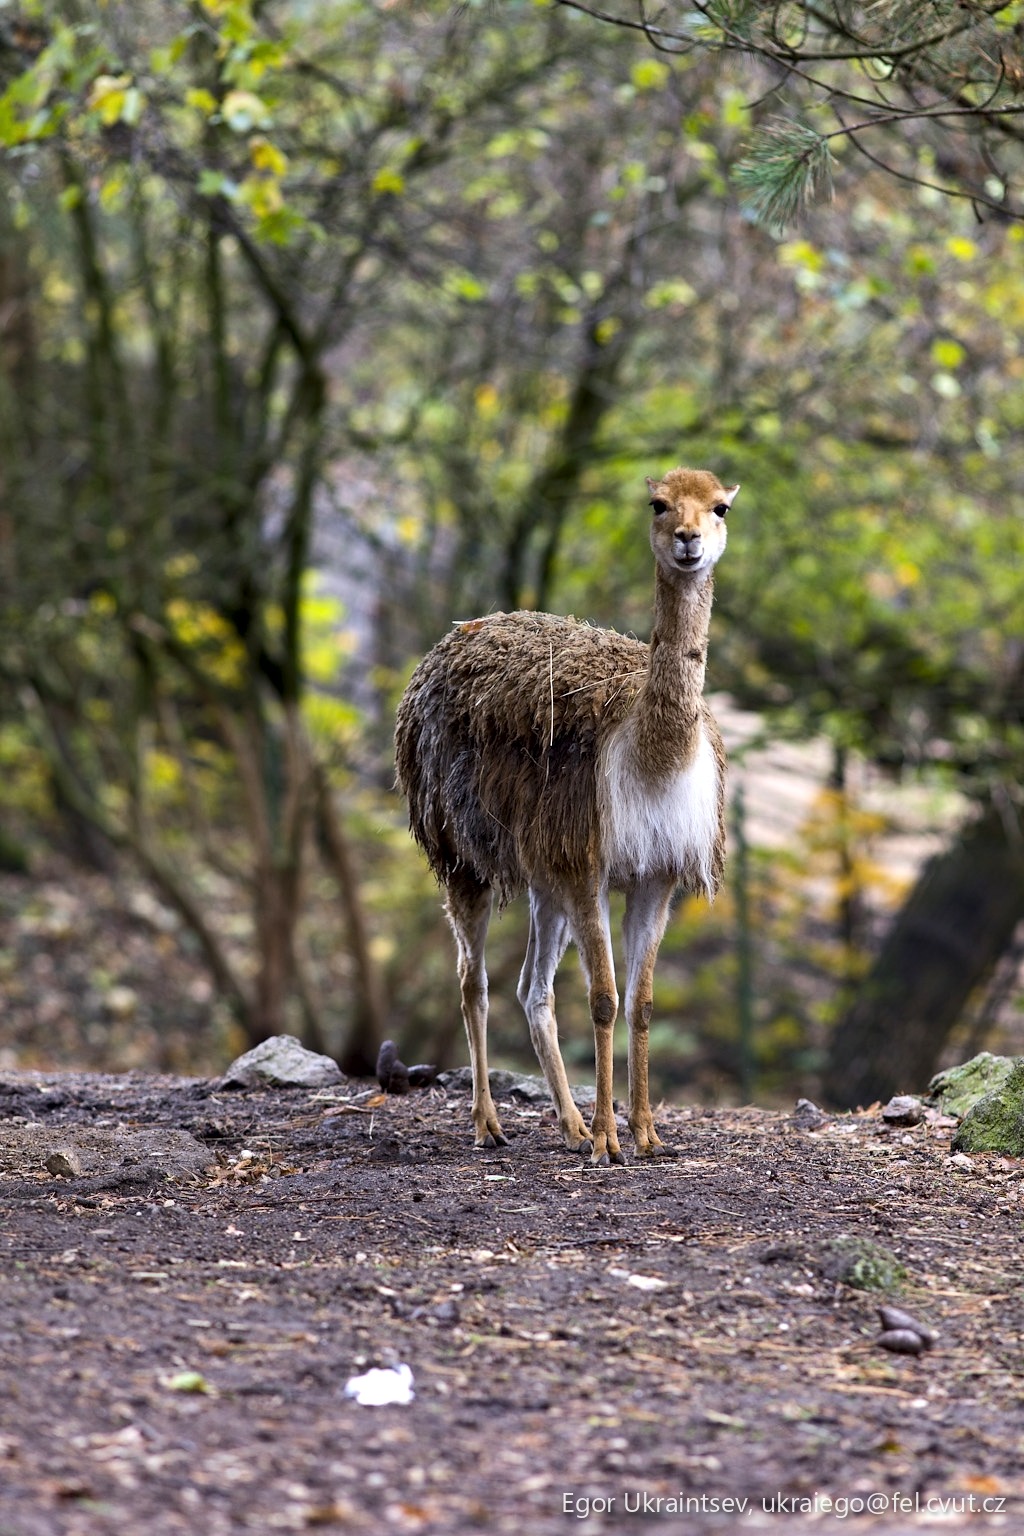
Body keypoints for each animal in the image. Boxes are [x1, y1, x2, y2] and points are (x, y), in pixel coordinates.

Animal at [394, 467, 738, 1166]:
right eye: (658, 504)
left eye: (720, 508)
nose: (688, 540)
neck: (653, 758)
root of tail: (455, 635)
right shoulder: (588, 863)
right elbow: (603, 999)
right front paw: (610, 1140)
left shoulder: (656, 873)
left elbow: (642, 1003)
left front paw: (645, 1134)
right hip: (460, 851)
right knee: (473, 981)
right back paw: (489, 1124)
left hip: (542, 875)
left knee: (532, 988)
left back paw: (570, 1124)